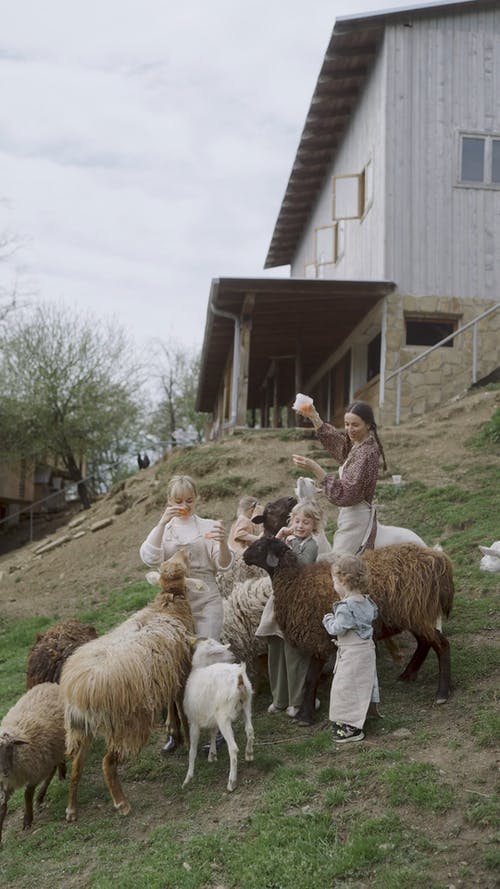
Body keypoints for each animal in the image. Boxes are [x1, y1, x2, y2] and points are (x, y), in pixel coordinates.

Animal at [0, 680, 66, 840]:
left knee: (51, 771)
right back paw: (62, 771)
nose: (5, 771)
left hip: (50, 754)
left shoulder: (35, 771)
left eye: (10, 748)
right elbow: (2, 806)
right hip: (55, 749)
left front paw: (27, 820)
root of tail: (51, 684)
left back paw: (41, 795)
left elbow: (27, 794)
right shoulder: (5, 782)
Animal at [60, 552, 195, 824]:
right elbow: (182, 710)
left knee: (77, 766)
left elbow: (174, 707)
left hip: (82, 728)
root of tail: (77, 691)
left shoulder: (168, 676)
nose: (185, 551)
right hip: (125, 726)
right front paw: (186, 741)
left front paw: (175, 733)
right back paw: (121, 803)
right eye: (180, 565)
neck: (168, 605)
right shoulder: (181, 672)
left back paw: (71, 809)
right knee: (106, 762)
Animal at [182, 640, 254, 792]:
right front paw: (212, 755)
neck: (199, 668)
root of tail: (239, 677)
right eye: (219, 652)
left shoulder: (194, 722)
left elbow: (192, 751)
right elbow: (213, 733)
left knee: (233, 748)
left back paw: (231, 782)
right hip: (247, 705)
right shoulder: (212, 717)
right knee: (250, 731)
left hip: (224, 716)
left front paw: (188, 778)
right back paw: (249, 754)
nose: (233, 655)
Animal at [244, 536, 456, 724]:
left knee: (441, 645)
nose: (244, 556)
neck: (295, 583)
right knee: (425, 642)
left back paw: (442, 692)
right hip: (414, 615)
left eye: (260, 545)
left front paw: (305, 716)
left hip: (418, 611)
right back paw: (408, 674)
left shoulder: (319, 639)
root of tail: (437, 559)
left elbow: (310, 679)